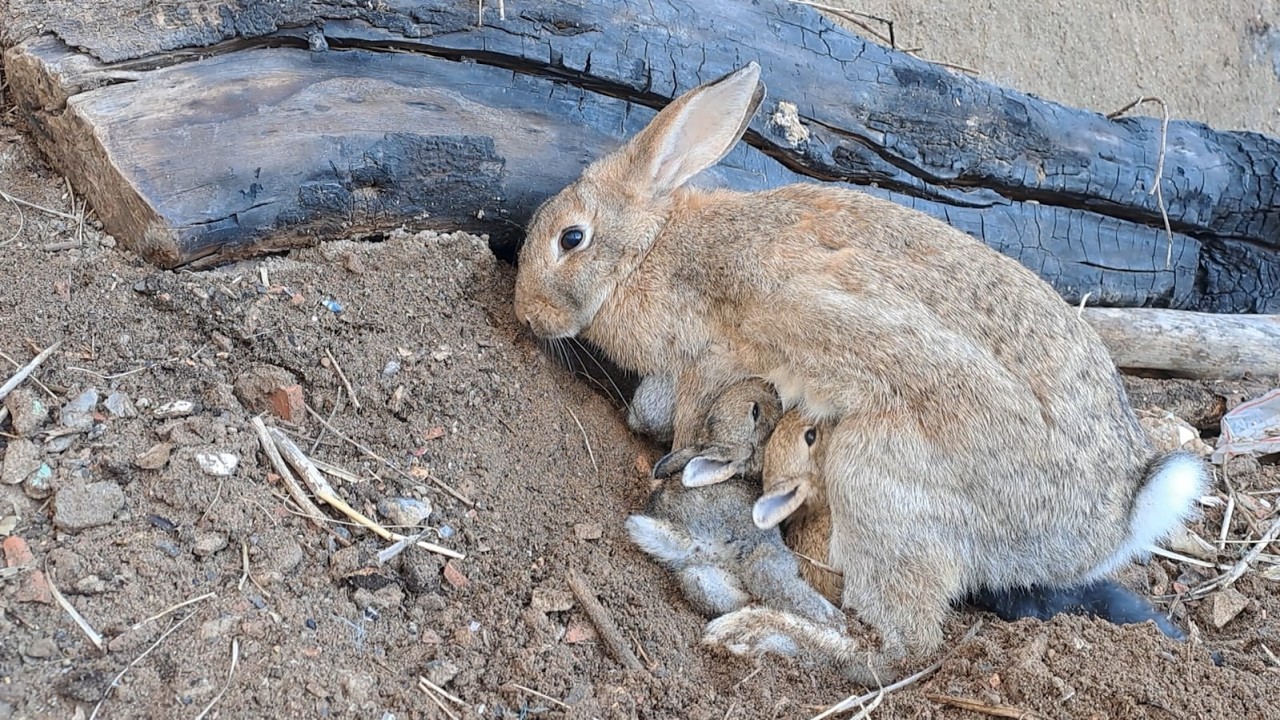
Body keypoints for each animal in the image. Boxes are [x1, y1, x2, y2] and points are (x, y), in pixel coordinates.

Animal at [624, 379, 842, 625]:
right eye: (755, 411)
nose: (770, 387)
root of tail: (698, 543)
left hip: (700, 575)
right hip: (763, 548)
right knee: (769, 578)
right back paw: (835, 618)